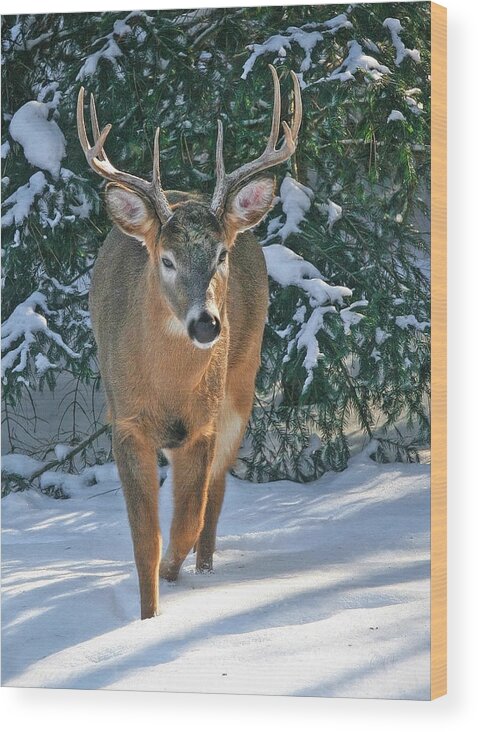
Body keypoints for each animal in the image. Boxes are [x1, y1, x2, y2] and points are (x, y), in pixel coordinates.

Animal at [77, 66, 302, 620]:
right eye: (167, 259)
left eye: (220, 255)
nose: (206, 326)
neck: (166, 388)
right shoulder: (126, 422)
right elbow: (145, 539)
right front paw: (147, 614)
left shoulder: (200, 424)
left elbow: (185, 523)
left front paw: (170, 578)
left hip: (240, 383)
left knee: (215, 495)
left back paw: (203, 571)